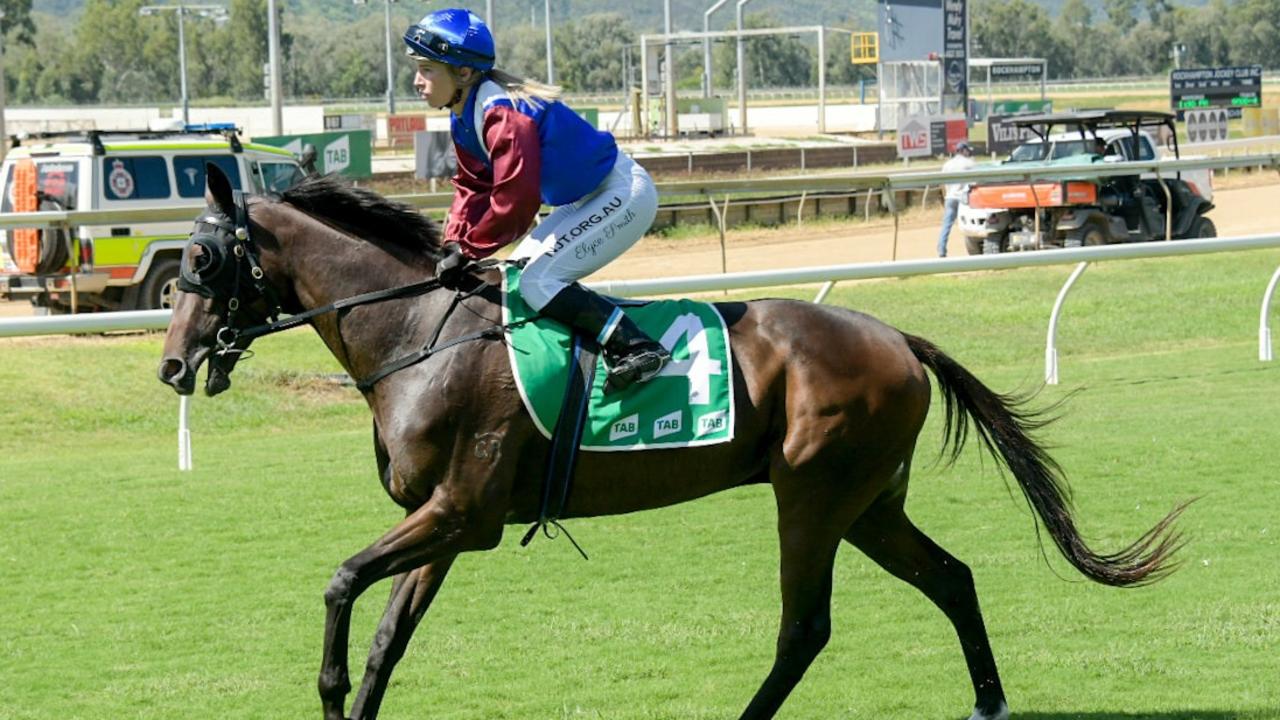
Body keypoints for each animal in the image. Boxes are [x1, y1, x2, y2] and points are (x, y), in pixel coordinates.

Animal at [154, 167, 1182, 717]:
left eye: (201, 260)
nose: (171, 366)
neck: (419, 333)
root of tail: (898, 337)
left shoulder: (463, 517)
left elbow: (340, 586)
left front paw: (325, 687)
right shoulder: (442, 522)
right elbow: (386, 639)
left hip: (813, 496)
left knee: (805, 627)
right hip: (867, 504)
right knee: (953, 579)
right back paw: (988, 697)